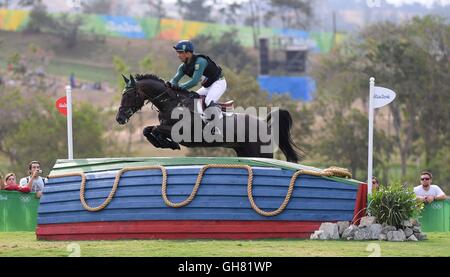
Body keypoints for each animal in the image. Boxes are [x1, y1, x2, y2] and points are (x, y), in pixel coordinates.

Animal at [116, 74, 306, 163]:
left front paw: (169, 144)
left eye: (129, 95)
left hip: (261, 153)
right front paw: (164, 143)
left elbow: (155, 129)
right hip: (245, 152)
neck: (172, 102)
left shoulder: (182, 132)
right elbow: (147, 130)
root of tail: (264, 124)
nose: (119, 118)